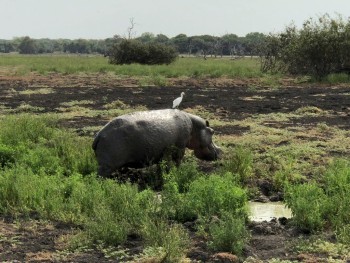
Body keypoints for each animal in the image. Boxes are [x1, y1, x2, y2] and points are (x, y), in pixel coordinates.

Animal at [92, 109, 221, 177]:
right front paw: (178, 171)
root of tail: (99, 134)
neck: (195, 127)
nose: (221, 151)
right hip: (107, 165)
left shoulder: (161, 153)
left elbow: (161, 165)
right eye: (212, 131)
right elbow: (178, 160)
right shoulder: (180, 147)